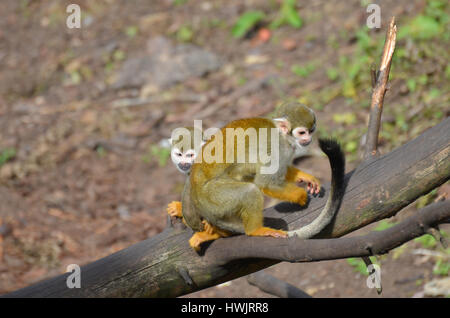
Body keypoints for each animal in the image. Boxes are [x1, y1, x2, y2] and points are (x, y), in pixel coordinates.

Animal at [181, 102, 346, 251]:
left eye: (311, 131)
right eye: (301, 133)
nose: (308, 139)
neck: (282, 135)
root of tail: (197, 200)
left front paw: (304, 177)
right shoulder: (276, 147)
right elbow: (265, 183)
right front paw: (300, 195)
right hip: (211, 197)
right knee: (249, 190)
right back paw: (255, 230)